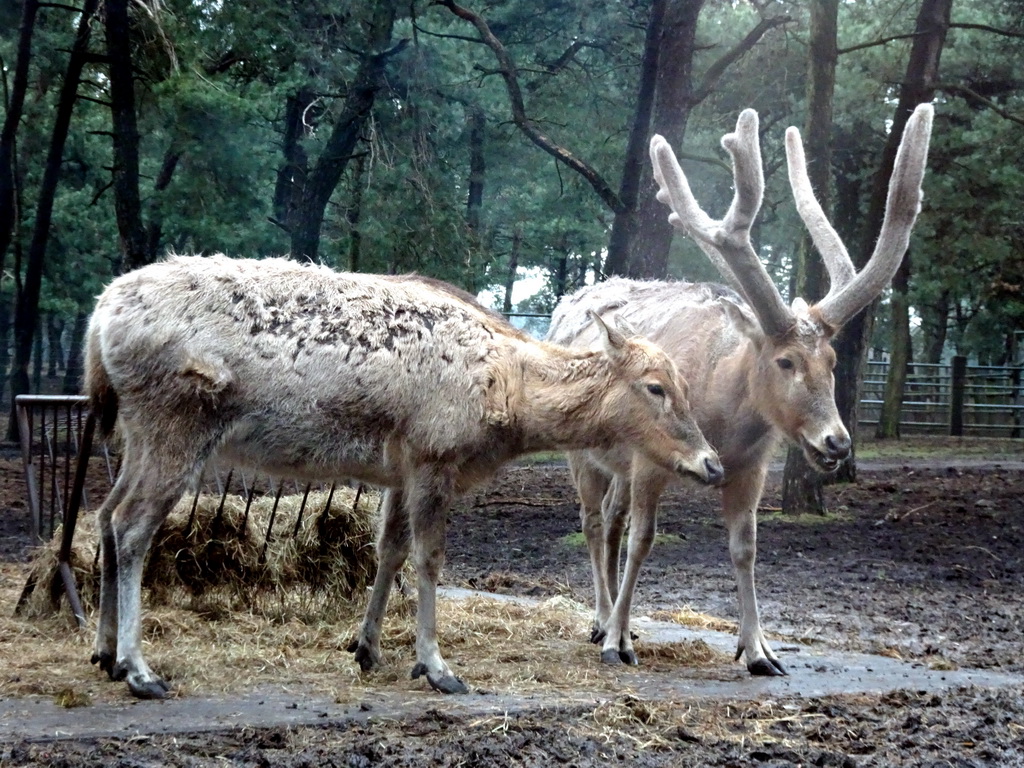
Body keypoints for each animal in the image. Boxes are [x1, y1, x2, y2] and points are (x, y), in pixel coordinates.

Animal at [548, 105, 933, 675]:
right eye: (785, 360)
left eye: (832, 360)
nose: (837, 442)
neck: (720, 420)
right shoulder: (650, 459)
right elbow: (643, 540)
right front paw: (618, 643)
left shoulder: (752, 466)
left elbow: (745, 546)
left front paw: (759, 650)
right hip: (584, 452)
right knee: (595, 522)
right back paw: (601, 620)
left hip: (618, 464)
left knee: (612, 520)